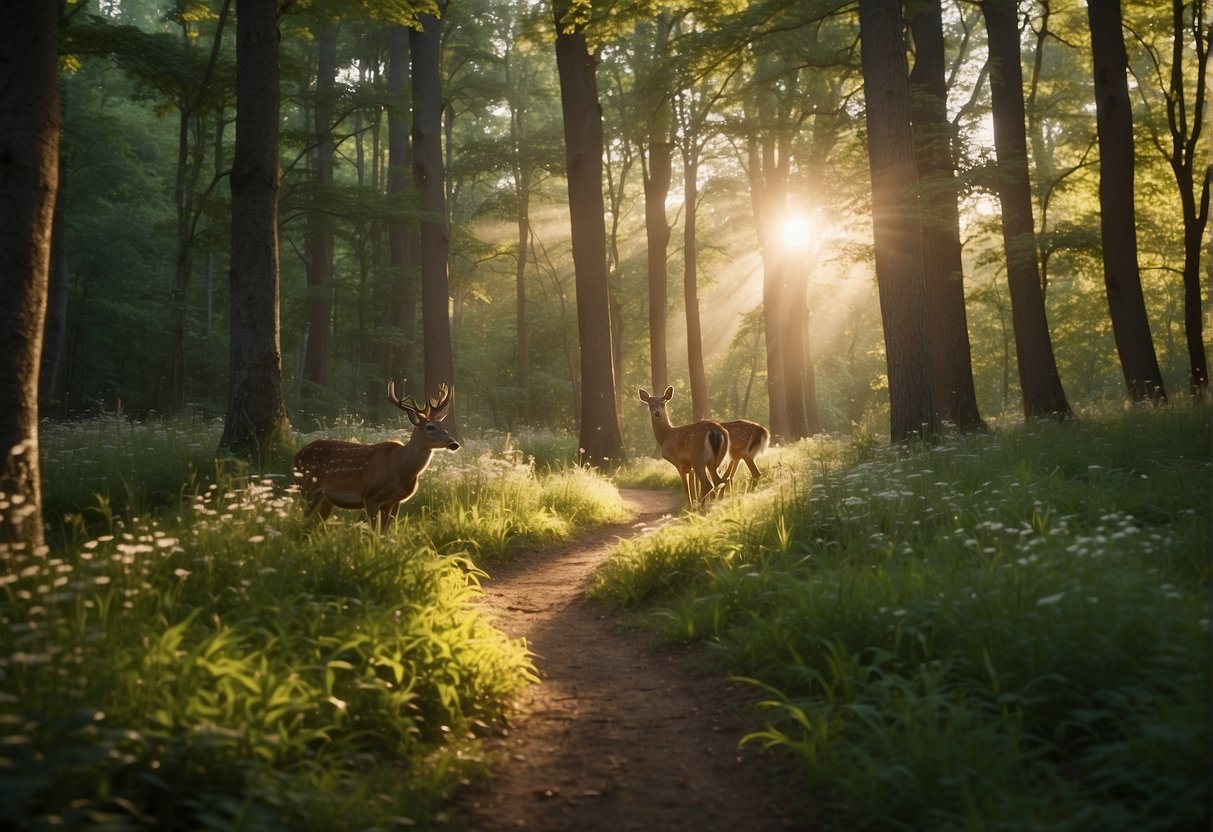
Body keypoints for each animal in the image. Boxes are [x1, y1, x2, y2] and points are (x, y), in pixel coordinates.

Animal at [293, 381, 460, 530]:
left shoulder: (394, 502)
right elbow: (375, 533)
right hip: (306, 487)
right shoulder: (370, 497)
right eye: (430, 427)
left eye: (444, 426)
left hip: (325, 498)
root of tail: (296, 456)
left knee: (312, 524)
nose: (454, 443)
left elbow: (385, 532)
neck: (399, 468)